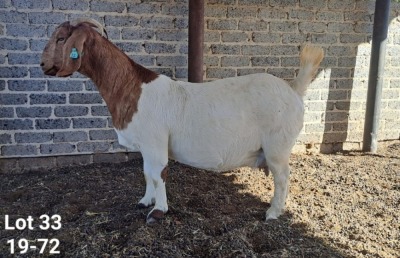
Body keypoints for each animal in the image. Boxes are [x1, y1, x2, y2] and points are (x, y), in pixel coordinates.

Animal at [40, 18, 324, 224]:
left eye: (62, 38)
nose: (42, 64)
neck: (132, 87)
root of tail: (294, 90)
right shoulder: (147, 145)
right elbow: (147, 173)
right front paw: (145, 200)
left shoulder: (155, 141)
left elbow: (159, 173)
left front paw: (158, 211)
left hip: (278, 146)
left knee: (283, 177)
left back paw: (273, 213)